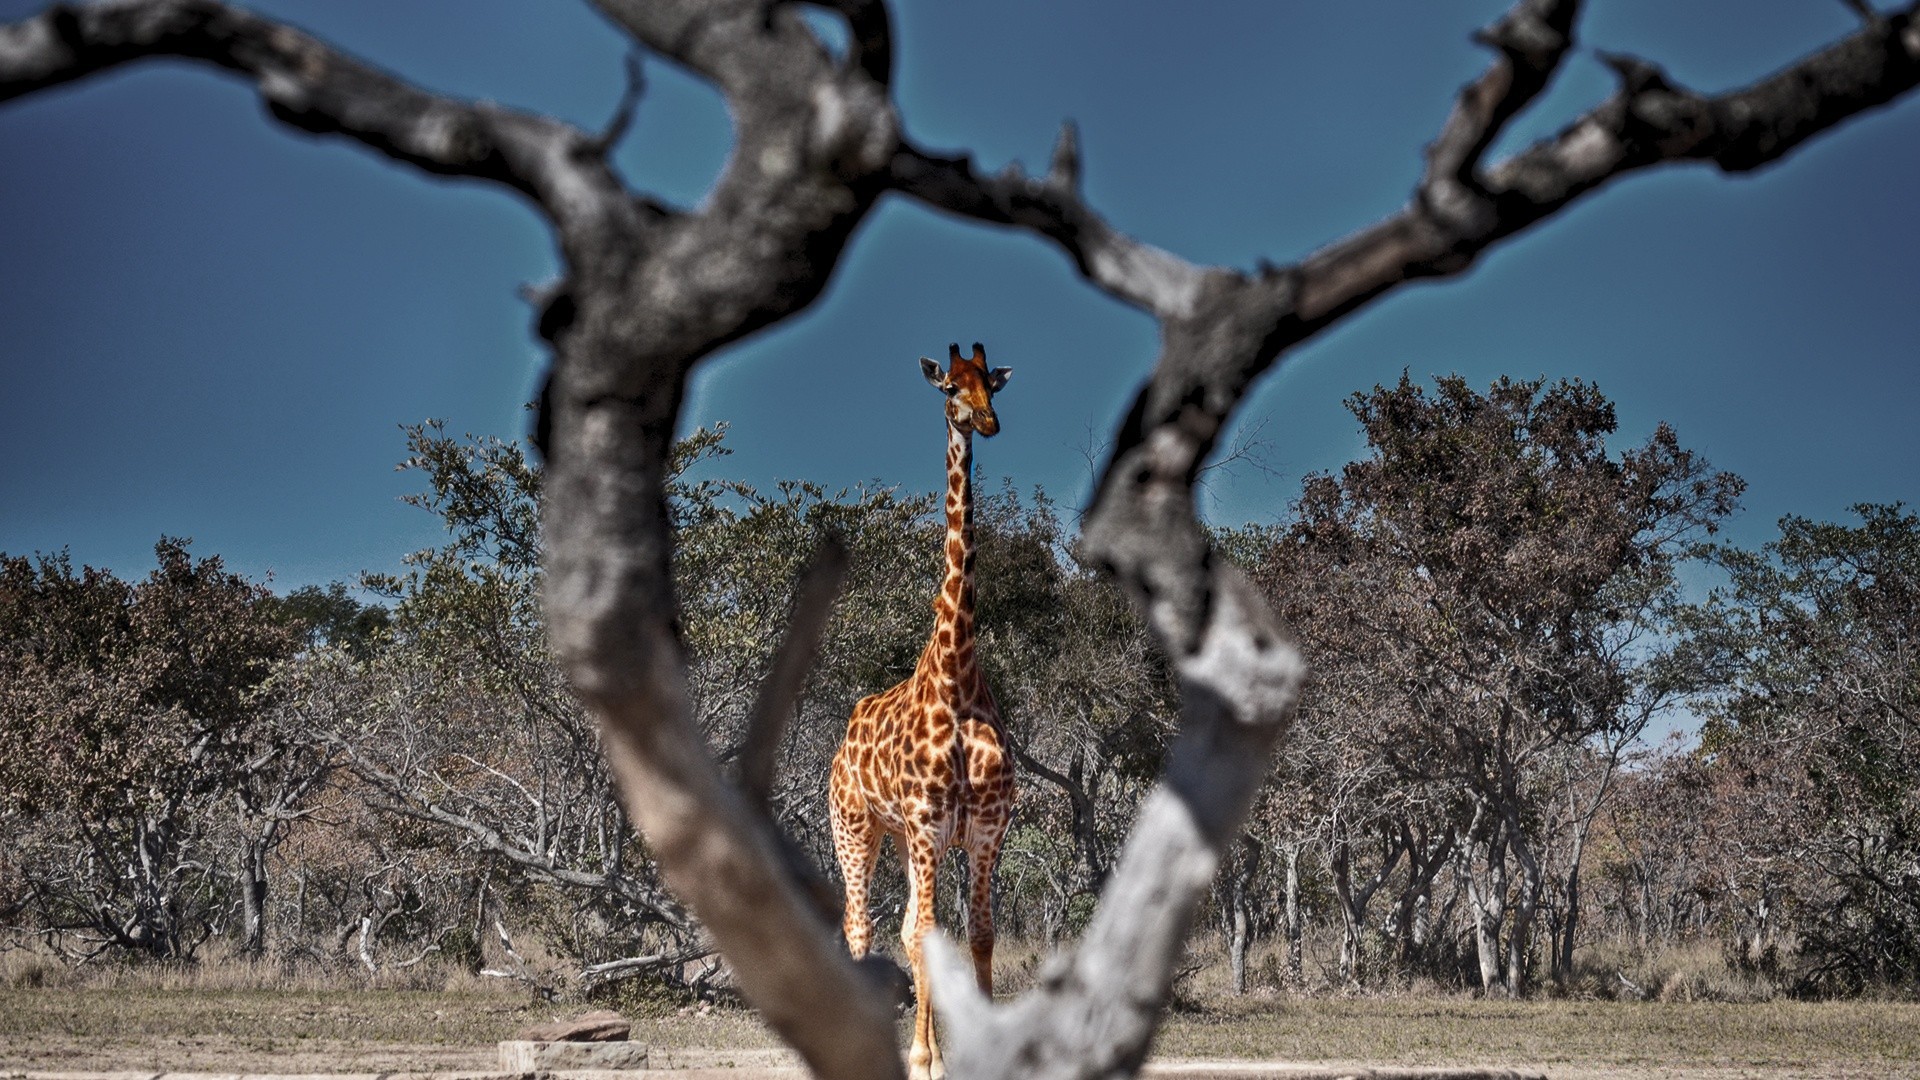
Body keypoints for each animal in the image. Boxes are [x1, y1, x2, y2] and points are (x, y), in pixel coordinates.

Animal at [829, 338, 1021, 1076]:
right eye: (949, 388)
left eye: (991, 384)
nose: (986, 423)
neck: (957, 679)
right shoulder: (928, 823)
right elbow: (928, 935)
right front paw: (923, 1057)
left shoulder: (987, 827)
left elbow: (981, 934)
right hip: (857, 827)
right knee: (862, 926)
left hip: (902, 837)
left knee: (908, 928)